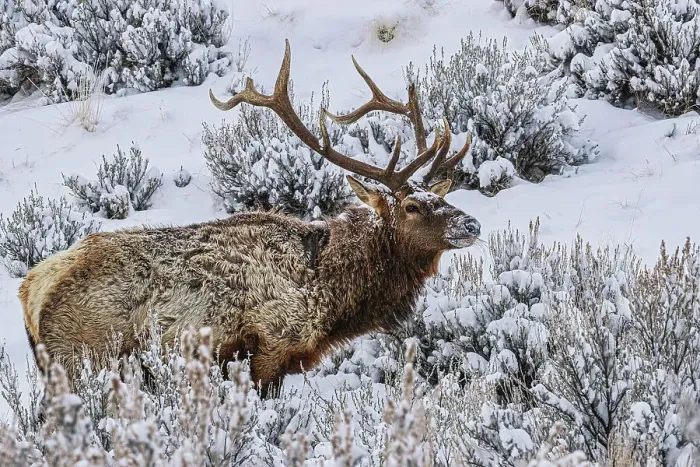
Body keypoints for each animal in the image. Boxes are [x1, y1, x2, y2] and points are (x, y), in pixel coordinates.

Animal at [19, 40, 481, 396]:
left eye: (439, 196)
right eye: (411, 207)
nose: (471, 224)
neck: (331, 293)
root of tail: (31, 291)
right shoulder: (270, 344)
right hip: (83, 359)